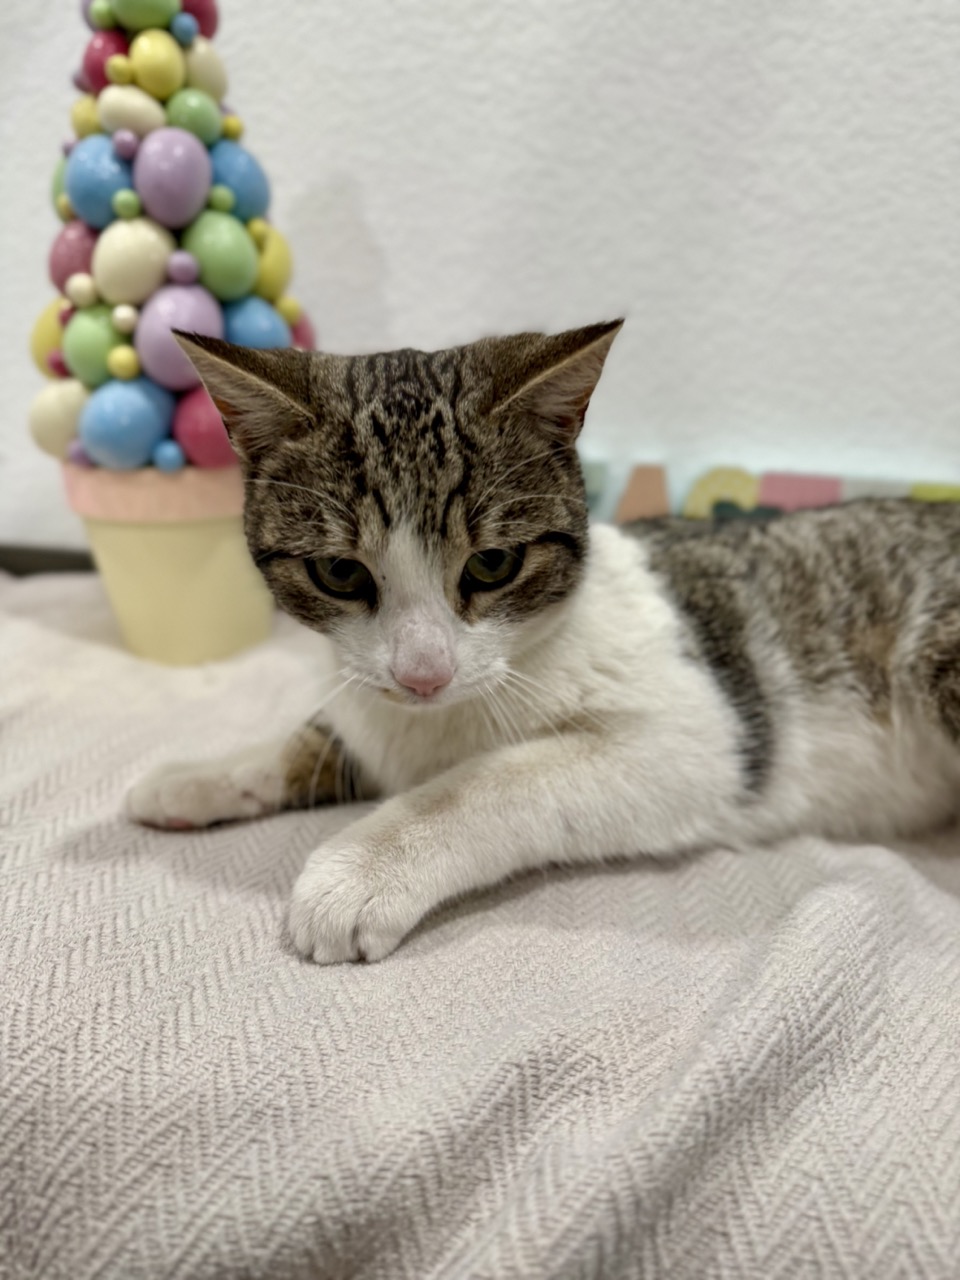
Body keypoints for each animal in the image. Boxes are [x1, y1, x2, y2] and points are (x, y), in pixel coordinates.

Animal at [127, 321, 960, 964]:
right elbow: (324, 737)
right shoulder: (372, 705)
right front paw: (196, 775)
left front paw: (362, 867)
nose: (423, 673)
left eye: (492, 563)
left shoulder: (703, 737)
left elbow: (493, 781)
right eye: (339, 572)